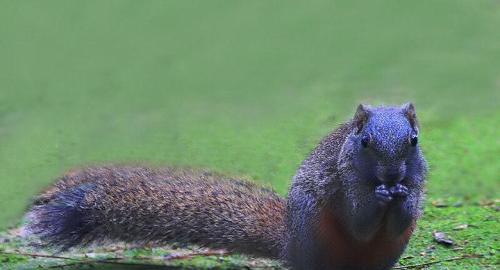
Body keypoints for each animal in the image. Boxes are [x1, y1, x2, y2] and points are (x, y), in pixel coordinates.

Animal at [26, 104, 426, 270]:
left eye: (414, 140)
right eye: (365, 142)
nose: (392, 176)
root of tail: (290, 244)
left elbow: (401, 218)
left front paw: (402, 198)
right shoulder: (345, 179)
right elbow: (359, 223)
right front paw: (380, 198)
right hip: (313, 228)